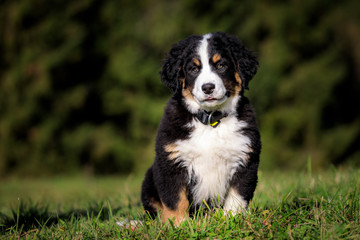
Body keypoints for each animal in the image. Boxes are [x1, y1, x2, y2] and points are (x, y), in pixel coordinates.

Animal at [141, 31, 262, 225]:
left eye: (221, 65)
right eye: (193, 69)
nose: (208, 87)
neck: (211, 121)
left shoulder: (246, 161)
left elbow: (236, 197)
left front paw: (232, 220)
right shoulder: (171, 164)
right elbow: (175, 200)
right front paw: (178, 225)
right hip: (148, 182)